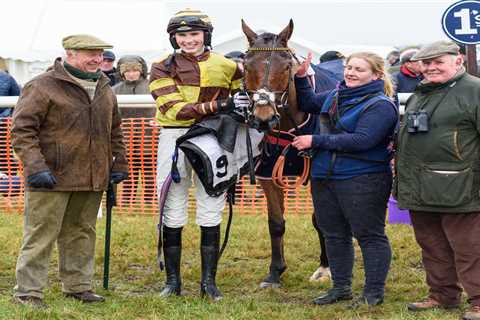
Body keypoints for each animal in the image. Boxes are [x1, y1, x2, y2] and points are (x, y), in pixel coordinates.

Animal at [240, 20, 334, 290]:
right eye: (246, 65)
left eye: (286, 66)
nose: (263, 118)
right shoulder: (268, 174)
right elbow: (276, 223)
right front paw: (275, 272)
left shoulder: (315, 175)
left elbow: (320, 219)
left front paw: (325, 267)